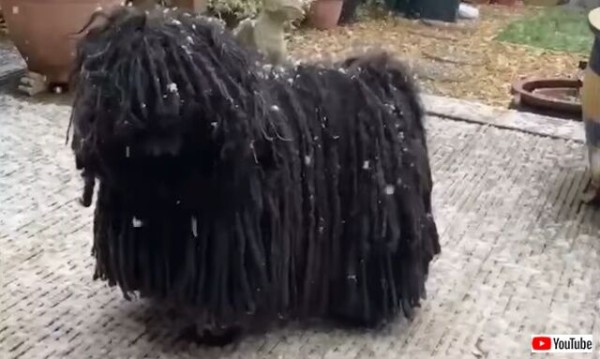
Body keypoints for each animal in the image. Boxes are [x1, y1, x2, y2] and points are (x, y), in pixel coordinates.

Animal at [69, 7, 440, 346]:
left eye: (180, 73)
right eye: (126, 77)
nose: (159, 115)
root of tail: (382, 80)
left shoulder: (229, 246)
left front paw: (212, 329)